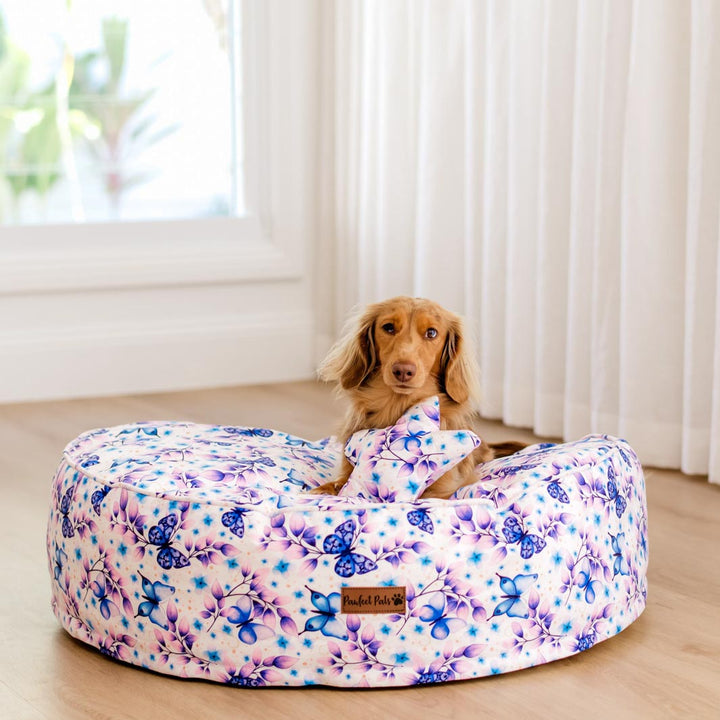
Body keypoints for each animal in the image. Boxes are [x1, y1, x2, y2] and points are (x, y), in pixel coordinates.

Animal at [314, 296, 524, 498]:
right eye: (388, 327)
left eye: (431, 333)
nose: (403, 371)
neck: (397, 406)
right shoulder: (348, 469)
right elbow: (336, 484)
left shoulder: (446, 488)